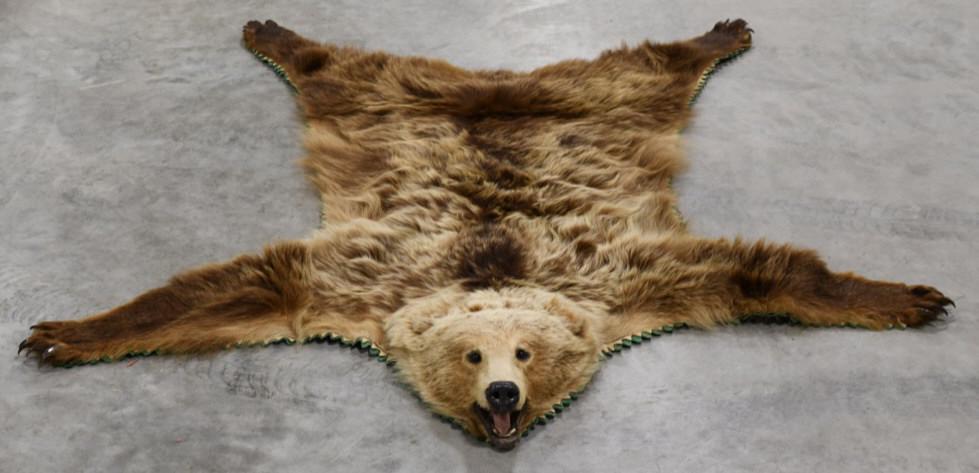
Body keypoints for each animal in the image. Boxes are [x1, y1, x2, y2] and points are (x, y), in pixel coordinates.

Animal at [18, 19, 953, 451]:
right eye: (474, 355)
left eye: (525, 353)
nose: (503, 393)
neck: (487, 271)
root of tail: (495, 82)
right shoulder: (362, 275)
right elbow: (233, 284)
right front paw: (67, 331)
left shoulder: (626, 274)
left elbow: (761, 268)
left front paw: (907, 293)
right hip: (387, 97)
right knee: (336, 69)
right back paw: (274, 32)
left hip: (597, 97)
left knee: (647, 64)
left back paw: (716, 33)